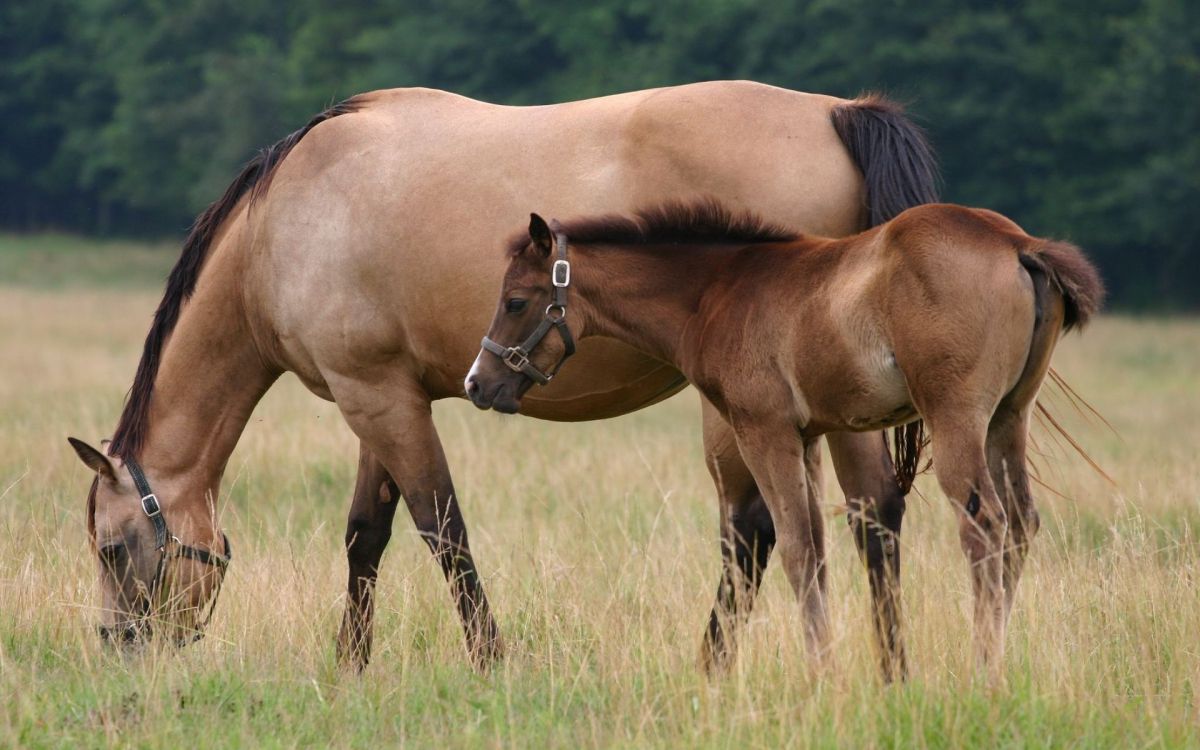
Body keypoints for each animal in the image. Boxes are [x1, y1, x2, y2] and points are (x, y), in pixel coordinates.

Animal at [65, 81, 940, 676]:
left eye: (111, 548)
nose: (118, 648)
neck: (283, 224)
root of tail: (837, 112)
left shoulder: (374, 397)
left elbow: (441, 529)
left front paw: (490, 659)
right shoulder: (383, 395)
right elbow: (366, 533)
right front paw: (351, 664)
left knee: (756, 531)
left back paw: (715, 667)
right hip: (834, 406)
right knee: (871, 515)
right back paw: (888, 669)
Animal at [468, 200, 1104, 676]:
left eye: (515, 301)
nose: (479, 382)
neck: (717, 292)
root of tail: (1017, 244)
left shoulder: (763, 431)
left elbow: (796, 548)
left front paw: (822, 673)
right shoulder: (808, 436)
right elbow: (817, 549)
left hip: (957, 420)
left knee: (985, 525)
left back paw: (983, 669)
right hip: (1007, 419)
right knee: (1020, 523)